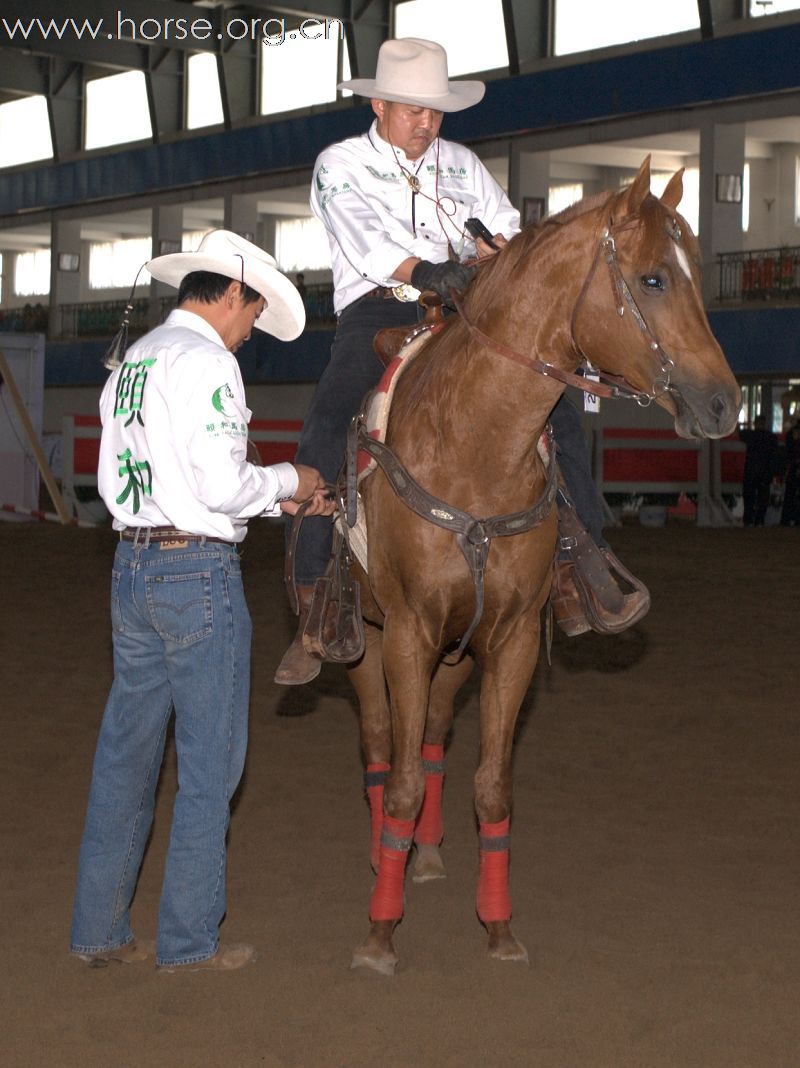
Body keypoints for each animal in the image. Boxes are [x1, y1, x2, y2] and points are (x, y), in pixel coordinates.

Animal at [346, 160, 739, 978]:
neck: (475, 447)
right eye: (653, 279)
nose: (725, 403)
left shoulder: (514, 639)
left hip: (458, 652)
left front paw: (498, 926)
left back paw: (428, 856)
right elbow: (397, 785)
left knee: (433, 736)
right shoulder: (407, 633)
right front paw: (379, 933)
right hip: (364, 644)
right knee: (379, 748)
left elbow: (491, 788)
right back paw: (384, 860)